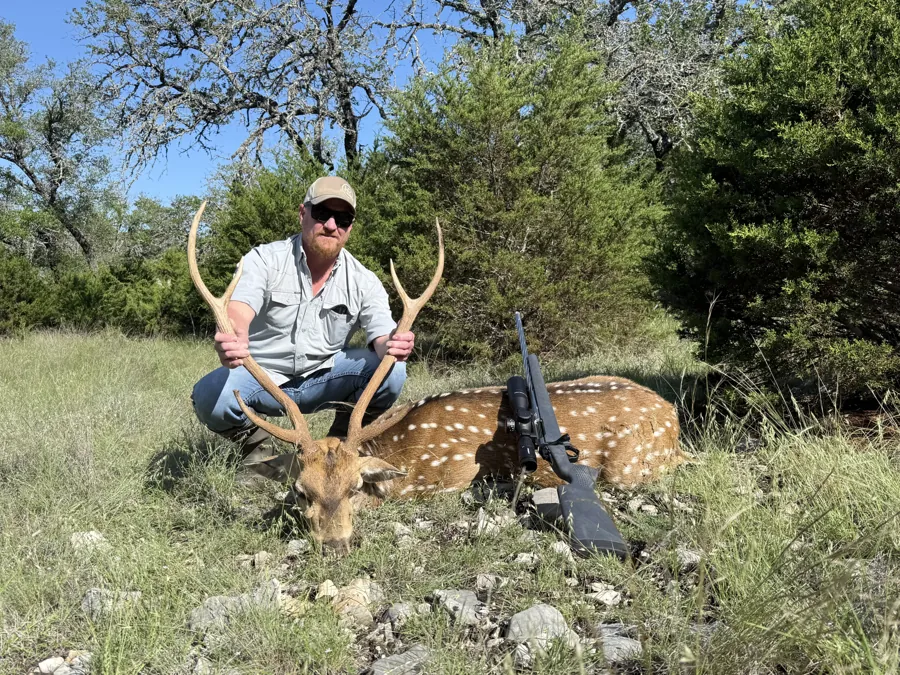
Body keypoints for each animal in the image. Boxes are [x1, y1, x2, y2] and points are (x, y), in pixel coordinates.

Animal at [188, 203, 685, 554]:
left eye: (354, 487)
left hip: (632, 467)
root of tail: (676, 423)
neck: (402, 462)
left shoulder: (450, 475)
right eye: (301, 490)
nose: (336, 546)